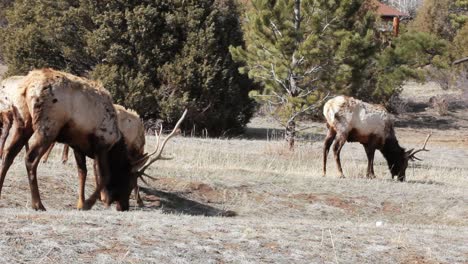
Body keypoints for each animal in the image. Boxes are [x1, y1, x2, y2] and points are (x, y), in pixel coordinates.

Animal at [0, 69, 186, 211]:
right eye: (128, 179)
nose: (124, 207)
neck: (117, 142)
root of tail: (27, 87)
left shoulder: (78, 145)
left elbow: (84, 172)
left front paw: (81, 202)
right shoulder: (101, 143)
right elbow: (104, 176)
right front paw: (89, 203)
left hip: (23, 122)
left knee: (9, 154)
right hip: (48, 125)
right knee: (30, 159)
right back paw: (38, 204)